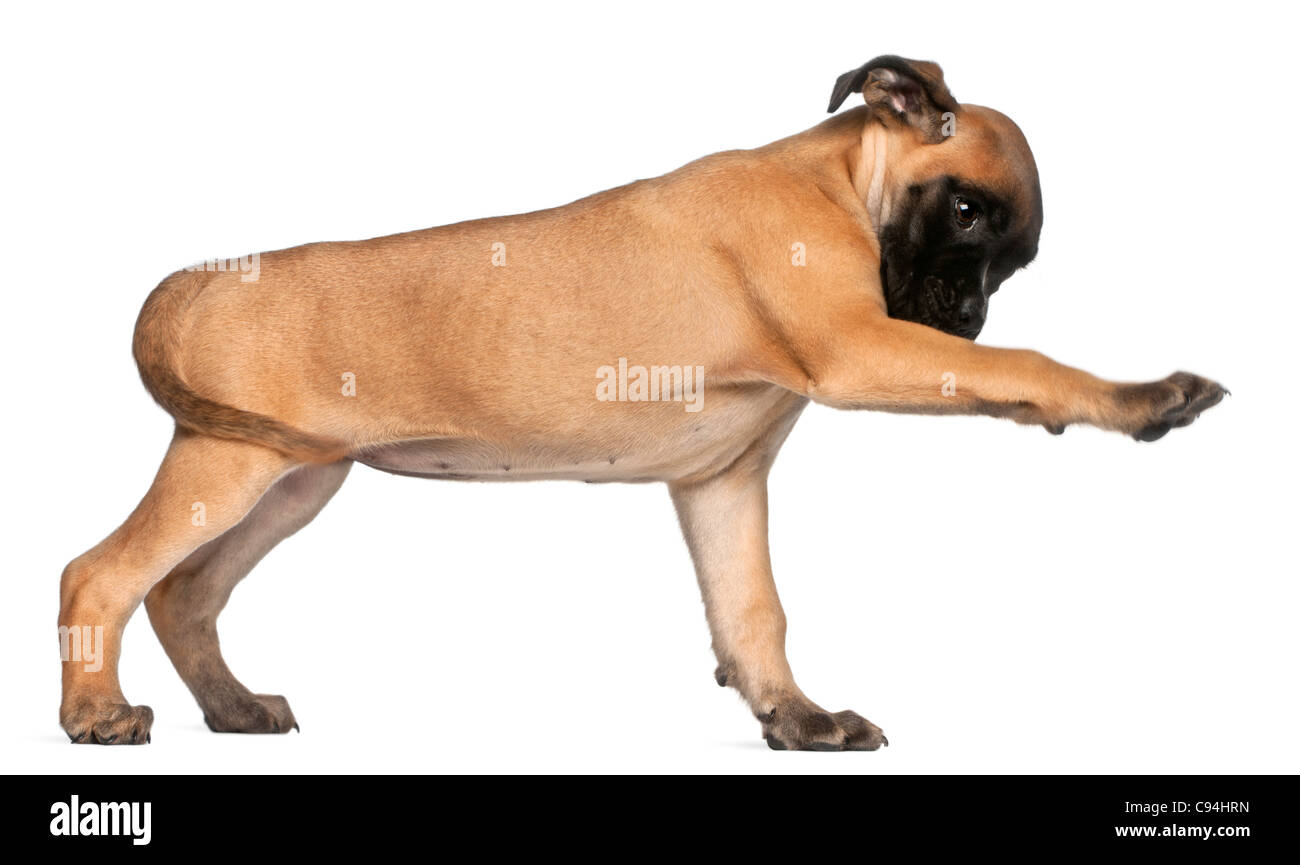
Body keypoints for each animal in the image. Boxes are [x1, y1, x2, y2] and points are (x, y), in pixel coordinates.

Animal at [58, 55, 1216, 749]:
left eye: (1012, 260)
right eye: (965, 211)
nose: (962, 319)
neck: (839, 180)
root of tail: (197, 280)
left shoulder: (722, 483)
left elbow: (752, 610)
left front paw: (794, 716)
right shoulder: (864, 352)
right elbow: (1031, 366)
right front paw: (1137, 395)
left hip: (294, 479)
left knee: (182, 594)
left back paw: (231, 704)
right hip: (230, 466)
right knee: (101, 575)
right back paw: (96, 713)